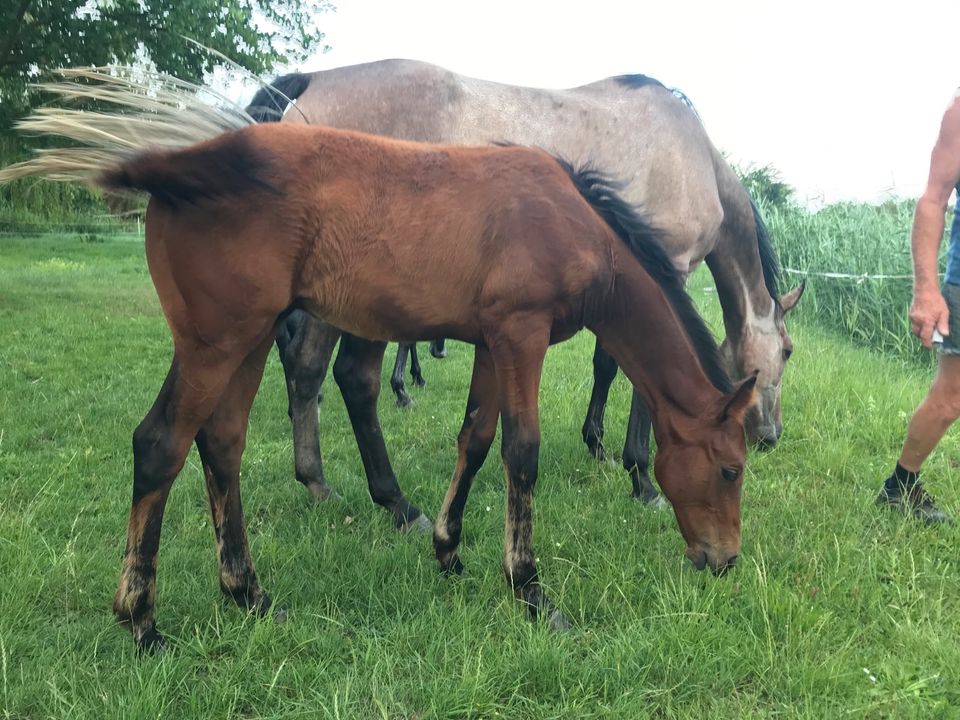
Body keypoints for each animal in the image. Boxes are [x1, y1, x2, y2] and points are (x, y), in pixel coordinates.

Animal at [1, 70, 756, 648]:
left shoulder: (493, 341)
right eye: (730, 468)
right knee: (160, 443)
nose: (723, 561)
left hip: (249, 340)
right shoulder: (522, 334)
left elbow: (475, 438)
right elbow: (521, 452)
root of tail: (183, 165)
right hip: (214, 342)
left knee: (222, 444)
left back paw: (248, 593)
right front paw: (531, 592)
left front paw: (448, 550)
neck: (573, 219)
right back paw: (142, 620)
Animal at [249, 60, 804, 512]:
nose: (771, 434)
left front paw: (597, 445)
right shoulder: (670, 267)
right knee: (349, 377)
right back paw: (397, 503)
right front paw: (643, 478)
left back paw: (318, 483)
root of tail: (314, 81)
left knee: (307, 368)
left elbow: (607, 363)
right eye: (789, 351)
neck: (692, 153)